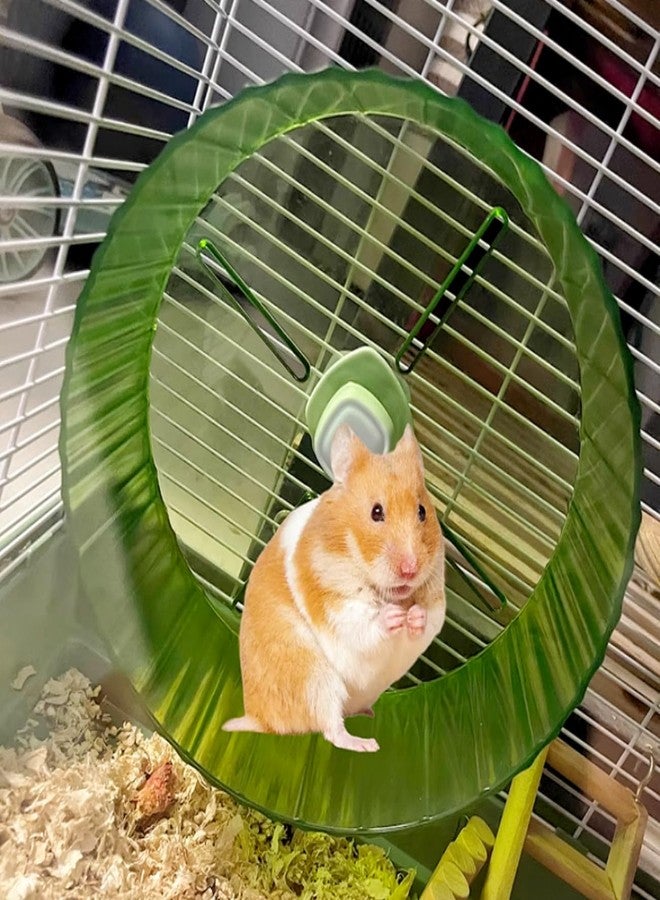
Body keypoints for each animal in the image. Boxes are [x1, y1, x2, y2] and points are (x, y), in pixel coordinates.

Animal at [222, 423, 446, 752]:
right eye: (376, 512)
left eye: (422, 511)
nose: (410, 568)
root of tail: (258, 717)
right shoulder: (336, 606)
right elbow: (363, 623)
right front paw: (392, 616)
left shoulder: (436, 606)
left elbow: (427, 621)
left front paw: (413, 616)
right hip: (315, 681)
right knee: (331, 730)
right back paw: (368, 744)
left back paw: (368, 714)